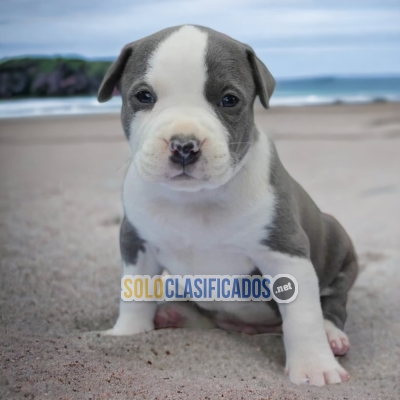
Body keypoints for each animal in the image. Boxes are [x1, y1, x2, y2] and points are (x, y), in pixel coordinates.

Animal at [97, 24, 360, 384]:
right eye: (144, 96)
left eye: (229, 100)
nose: (184, 145)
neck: (196, 198)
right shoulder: (137, 243)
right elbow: (135, 294)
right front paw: (128, 333)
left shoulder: (285, 251)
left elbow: (303, 314)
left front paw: (314, 367)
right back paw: (175, 314)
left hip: (338, 242)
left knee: (332, 301)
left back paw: (332, 335)